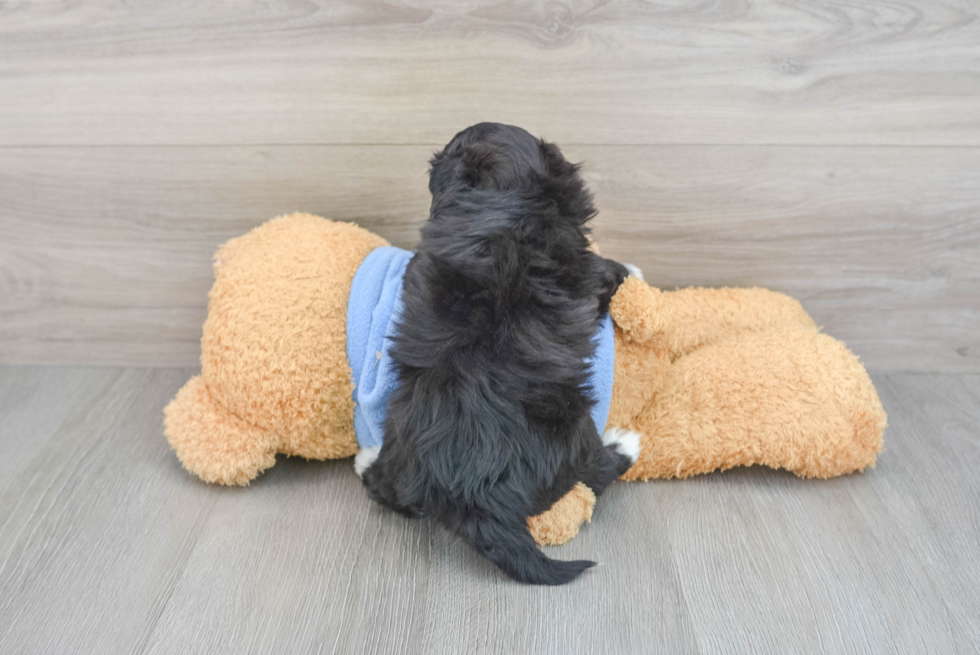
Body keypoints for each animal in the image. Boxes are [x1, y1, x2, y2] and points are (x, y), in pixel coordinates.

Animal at [360, 125, 644, 588]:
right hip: (572, 431)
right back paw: (625, 444)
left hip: (401, 433)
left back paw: (366, 459)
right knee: (594, 474)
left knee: (388, 490)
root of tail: (473, 495)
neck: (503, 204)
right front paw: (631, 271)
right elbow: (606, 270)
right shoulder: (584, 267)